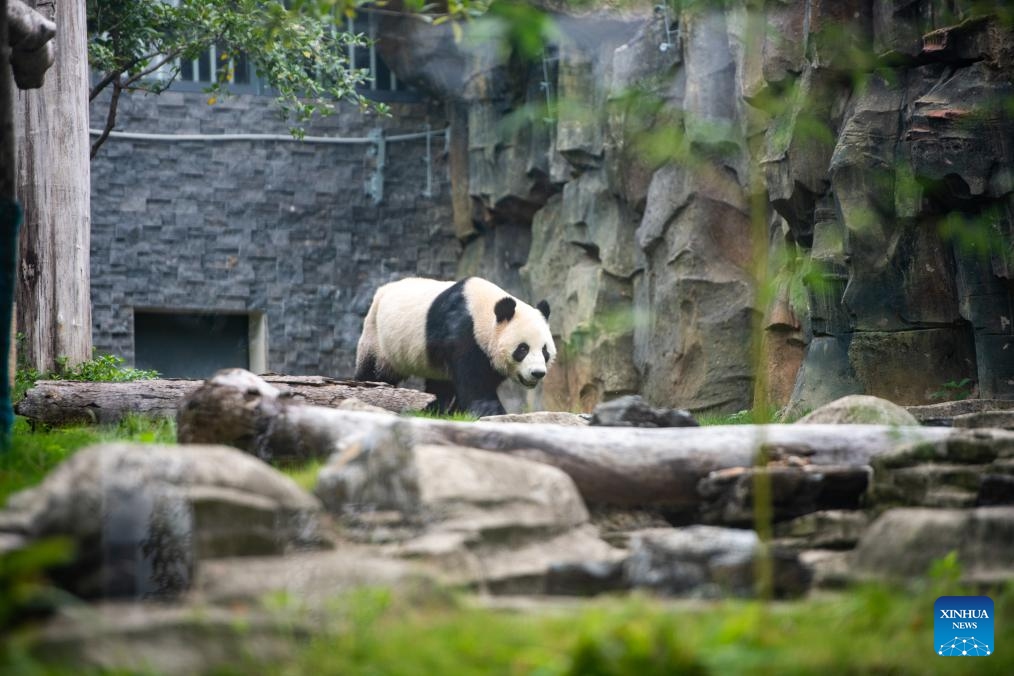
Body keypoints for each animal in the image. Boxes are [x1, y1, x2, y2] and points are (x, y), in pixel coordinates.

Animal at [354, 275, 555, 417]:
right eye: (523, 349)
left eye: (545, 350)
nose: (537, 373)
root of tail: (382, 290)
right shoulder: (463, 330)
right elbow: (474, 378)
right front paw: (491, 411)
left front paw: (460, 412)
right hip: (377, 336)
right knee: (375, 370)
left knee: (439, 383)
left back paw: (433, 409)